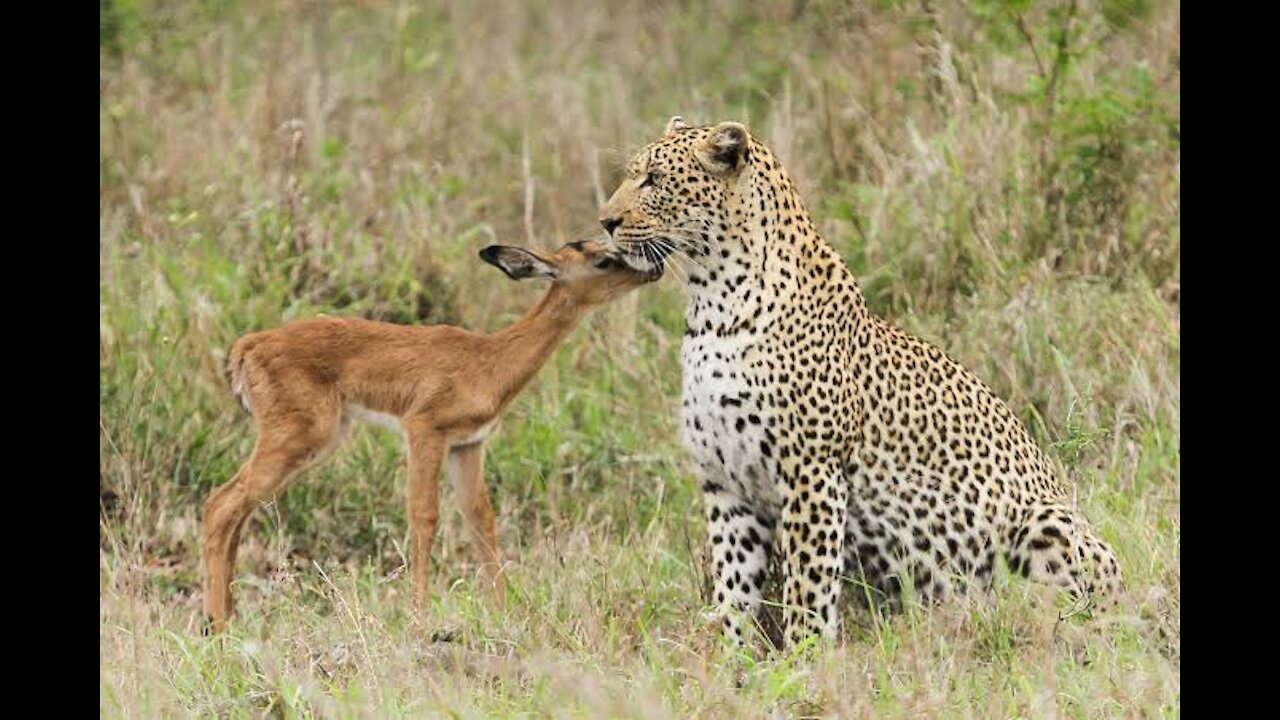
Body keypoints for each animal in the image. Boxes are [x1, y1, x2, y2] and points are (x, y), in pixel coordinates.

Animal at [596, 116, 1121, 645]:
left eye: (654, 180)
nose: (605, 222)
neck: (711, 304)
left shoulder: (810, 472)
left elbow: (807, 585)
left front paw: (803, 655)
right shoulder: (725, 483)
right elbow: (734, 585)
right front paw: (732, 653)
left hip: (1047, 522)